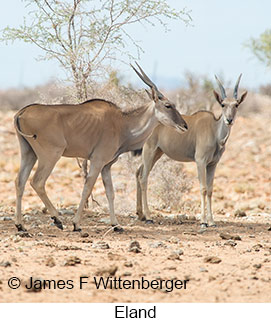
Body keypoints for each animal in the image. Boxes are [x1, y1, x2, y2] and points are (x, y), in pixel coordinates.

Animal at [13, 62, 188, 233]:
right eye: (168, 105)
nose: (185, 126)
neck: (122, 124)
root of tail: (22, 112)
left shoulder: (106, 166)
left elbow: (110, 193)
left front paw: (116, 225)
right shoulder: (97, 161)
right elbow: (87, 188)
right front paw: (76, 224)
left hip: (29, 154)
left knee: (20, 181)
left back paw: (21, 226)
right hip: (50, 155)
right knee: (37, 182)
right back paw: (57, 219)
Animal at [137, 75, 248, 228]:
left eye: (236, 105)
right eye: (223, 104)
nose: (229, 120)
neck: (214, 131)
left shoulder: (212, 164)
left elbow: (210, 190)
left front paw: (212, 221)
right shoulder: (200, 161)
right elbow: (203, 188)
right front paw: (203, 221)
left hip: (157, 154)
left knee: (138, 173)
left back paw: (140, 214)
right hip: (149, 151)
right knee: (143, 178)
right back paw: (148, 217)